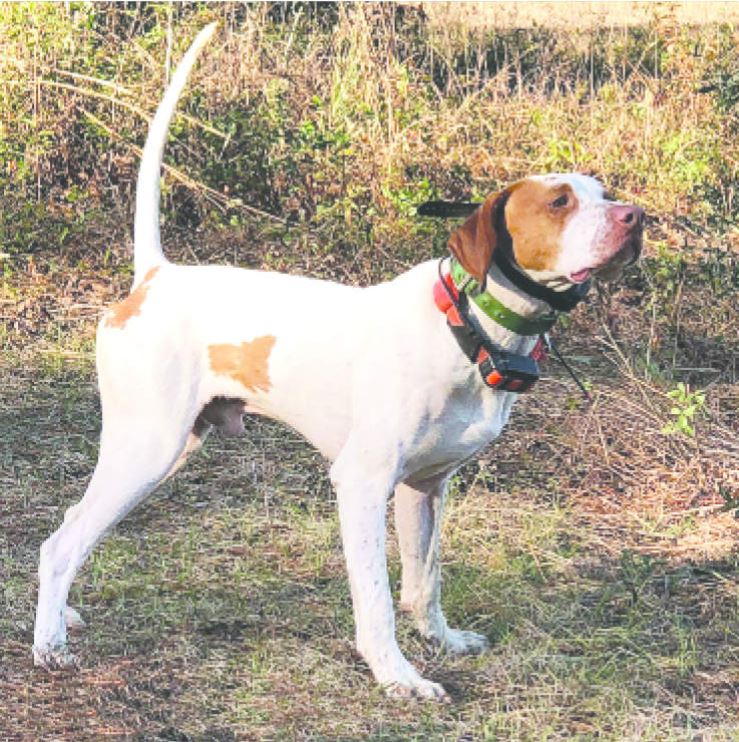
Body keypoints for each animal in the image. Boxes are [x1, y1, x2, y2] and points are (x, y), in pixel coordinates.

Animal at [31, 26, 644, 700]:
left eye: (605, 195)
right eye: (559, 202)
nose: (635, 217)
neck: (465, 326)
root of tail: (154, 277)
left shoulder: (425, 490)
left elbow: (424, 584)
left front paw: (442, 642)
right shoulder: (362, 484)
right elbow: (376, 602)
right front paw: (399, 677)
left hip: (167, 450)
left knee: (73, 527)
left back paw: (62, 615)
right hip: (147, 449)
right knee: (59, 544)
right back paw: (49, 645)